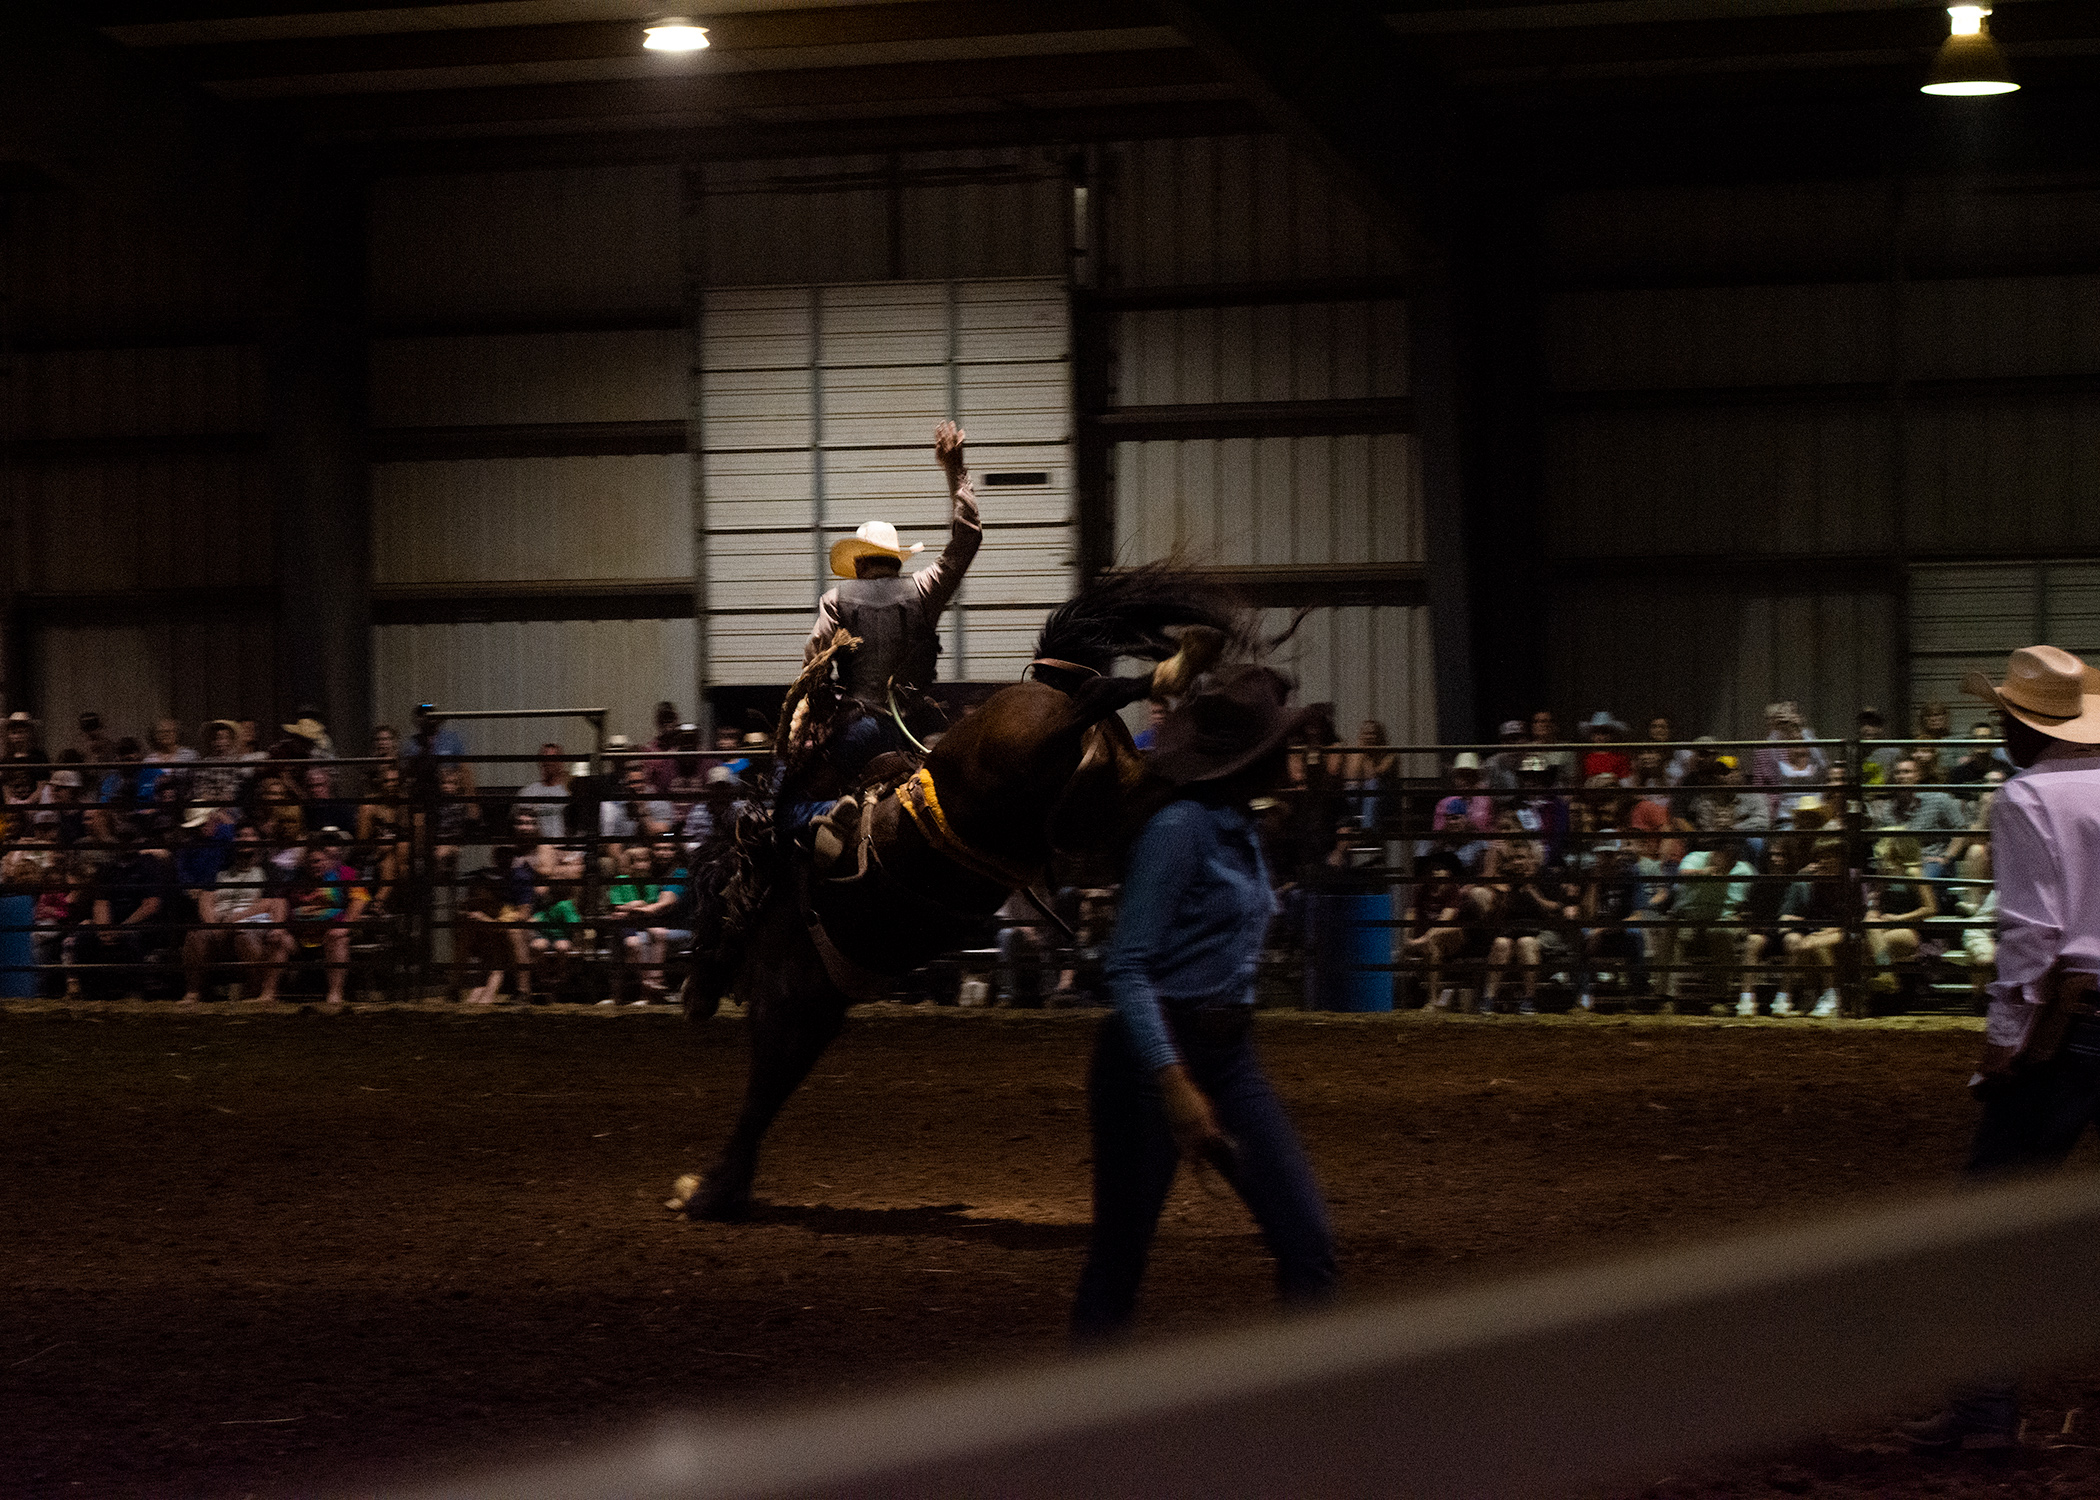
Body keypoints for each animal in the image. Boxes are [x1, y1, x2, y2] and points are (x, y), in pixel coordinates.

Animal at [667, 563, 1260, 1218]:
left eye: (702, 909)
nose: (691, 997)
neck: (774, 880)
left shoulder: (787, 1002)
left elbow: (760, 1094)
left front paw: (706, 1191)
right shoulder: (817, 1014)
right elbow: (771, 1095)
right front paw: (725, 1188)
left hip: (1036, 751)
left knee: (1095, 697)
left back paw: (1179, 669)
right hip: (1107, 806)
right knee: (1139, 756)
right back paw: (1195, 688)